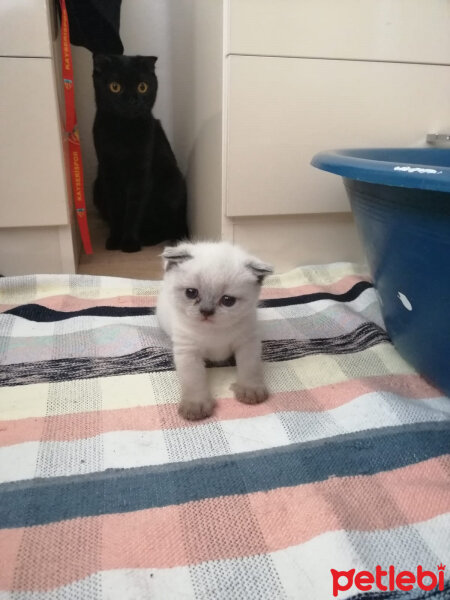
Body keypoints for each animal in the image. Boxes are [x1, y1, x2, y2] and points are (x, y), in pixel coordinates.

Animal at [92, 54, 187, 253]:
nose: (132, 100)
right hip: (96, 187)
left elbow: (134, 209)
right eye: (115, 86)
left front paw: (129, 243)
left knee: (167, 227)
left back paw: (148, 238)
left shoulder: (141, 173)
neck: (123, 131)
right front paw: (115, 239)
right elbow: (115, 208)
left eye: (142, 86)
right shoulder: (108, 172)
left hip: (172, 181)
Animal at [156, 241, 272, 420]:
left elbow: (250, 368)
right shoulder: (188, 352)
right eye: (191, 293)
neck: (214, 331)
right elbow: (194, 380)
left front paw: (250, 389)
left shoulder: (248, 344)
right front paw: (195, 405)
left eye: (228, 300)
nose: (206, 311)